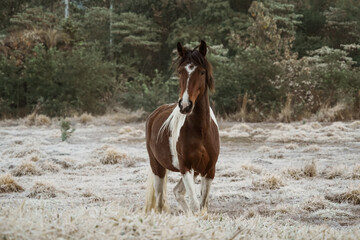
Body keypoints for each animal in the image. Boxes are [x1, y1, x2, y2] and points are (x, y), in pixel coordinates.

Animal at [144, 39, 219, 214]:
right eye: (180, 72)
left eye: (202, 72)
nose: (185, 105)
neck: (201, 131)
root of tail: (154, 114)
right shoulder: (186, 168)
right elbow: (195, 205)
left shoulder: (209, 170)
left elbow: (203, 206)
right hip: (157, 167)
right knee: (160, 202)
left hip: (196, 171)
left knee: (177, 192)